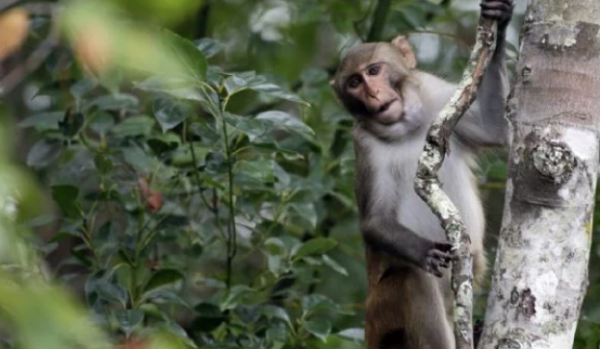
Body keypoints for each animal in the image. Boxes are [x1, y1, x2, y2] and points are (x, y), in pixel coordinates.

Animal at [330, 1, 512, 346]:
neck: (407, 128)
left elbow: (494, 128)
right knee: (413, 281)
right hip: (381, 314)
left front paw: (500, 22)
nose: (372, 94)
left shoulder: (437, 95)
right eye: (354, 83)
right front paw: (423, 250)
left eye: (373, 71)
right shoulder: (365, 146)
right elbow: (375, 222)